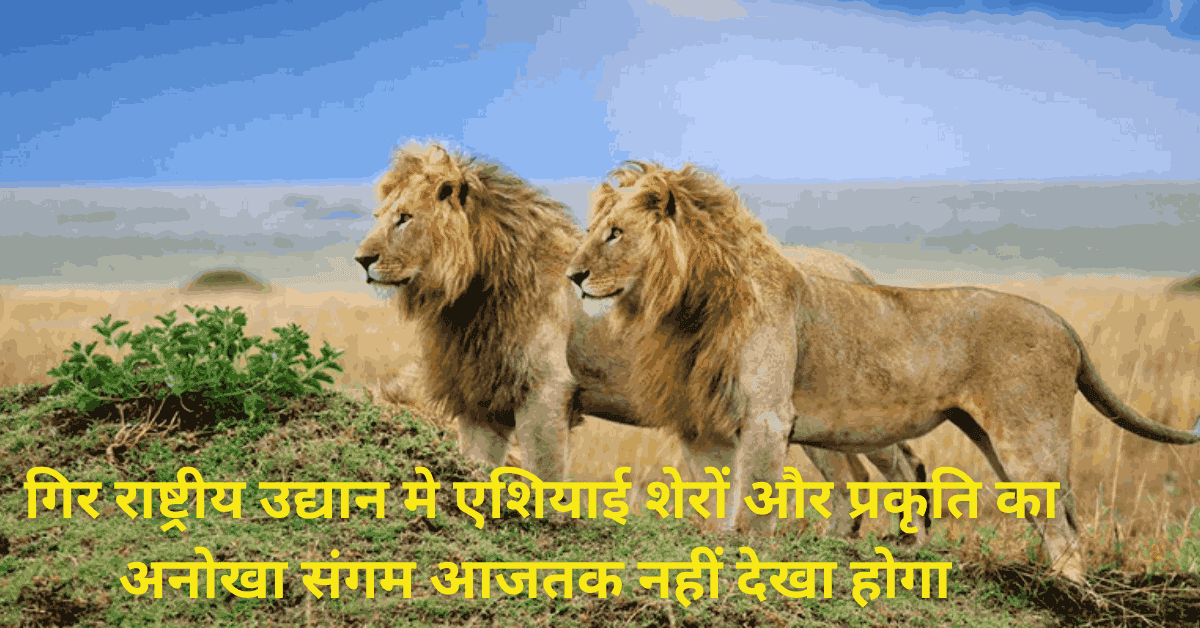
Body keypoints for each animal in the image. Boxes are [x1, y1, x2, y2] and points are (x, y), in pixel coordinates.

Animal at [565, 160, 1200, 583]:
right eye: (593, 230)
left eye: (615, 233)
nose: (572, 276)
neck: (690, 304)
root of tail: (1060, 320)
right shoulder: (708, 424)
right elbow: (718, 505)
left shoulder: (767, 417)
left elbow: (750, 510)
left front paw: (743, 560)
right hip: (998, 441)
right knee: (1058, 521)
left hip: (1027, 441)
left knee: (1064, 533)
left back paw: (1066, 596)